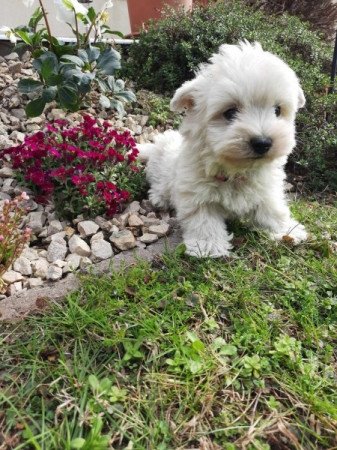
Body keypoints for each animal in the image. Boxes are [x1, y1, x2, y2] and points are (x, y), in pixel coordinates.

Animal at [137, 41, 308, 256]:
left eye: (277, 110)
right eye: (230, 112)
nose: (262, 142)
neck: (236, 172)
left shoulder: (266, 188)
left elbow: (273, 208)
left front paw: (286, 230)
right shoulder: (196, 193)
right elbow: (204, 219)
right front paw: (208, 245)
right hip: (161, 170)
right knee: (158, 184)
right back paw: (159, 198)